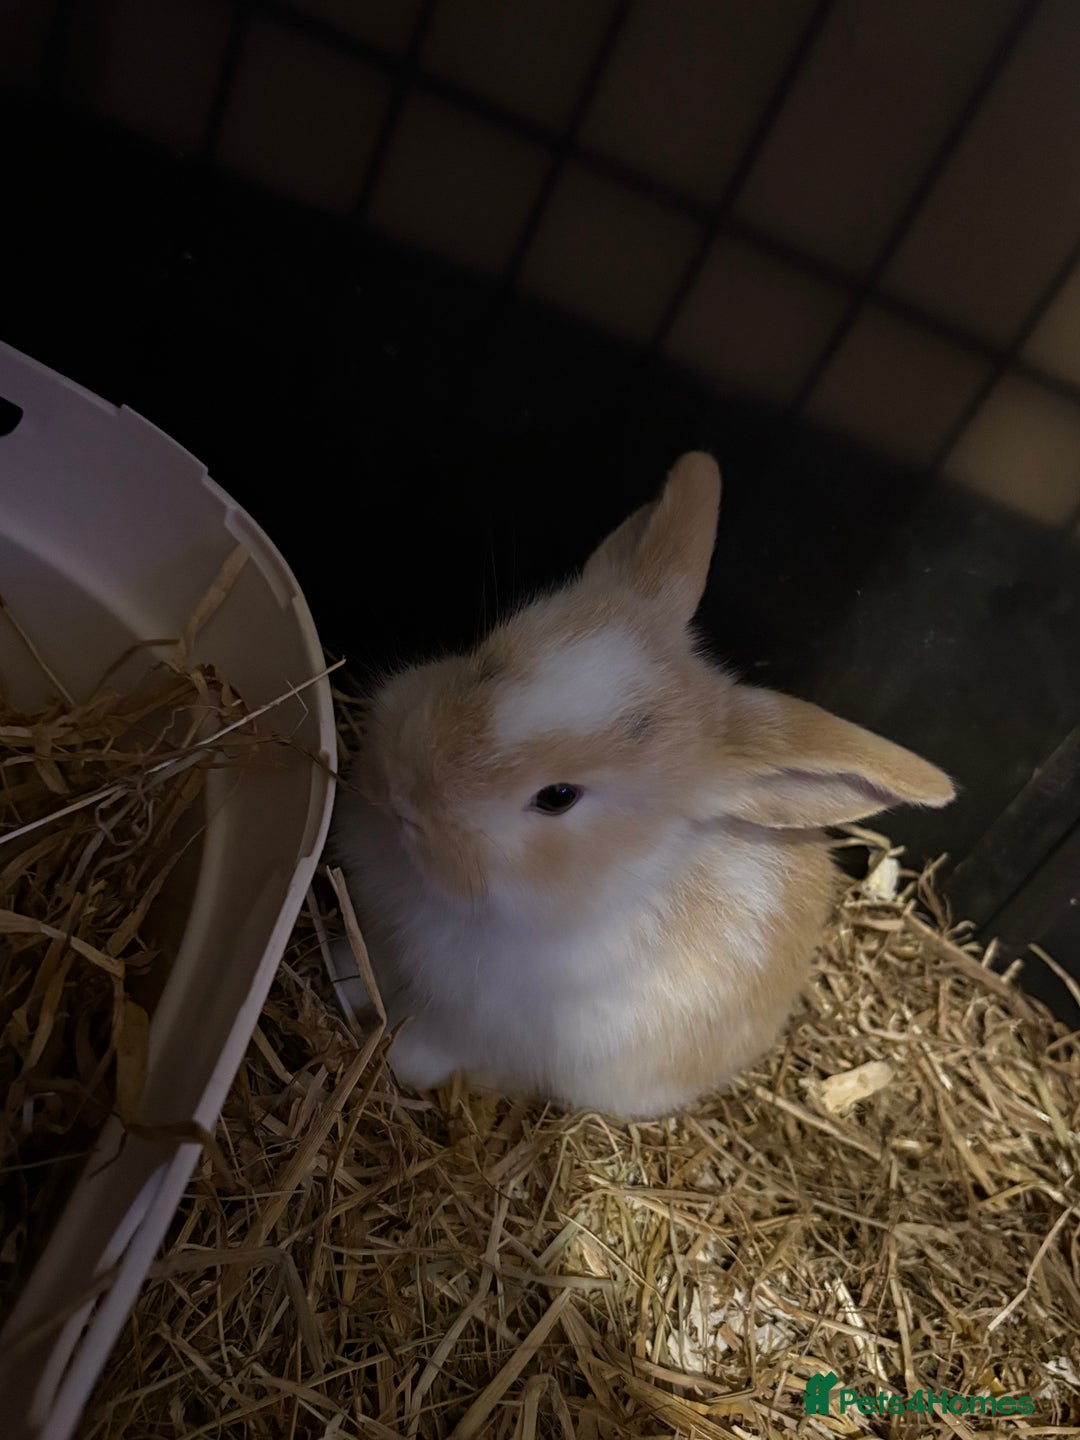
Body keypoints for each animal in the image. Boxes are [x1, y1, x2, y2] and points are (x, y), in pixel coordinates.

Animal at [331, 452, 954, 1120]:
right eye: (484, 664)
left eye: (558, 797)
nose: (406, 801)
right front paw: (346, 980)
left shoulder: (479, 1028)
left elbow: (434, 1046)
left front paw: (400, 1060)